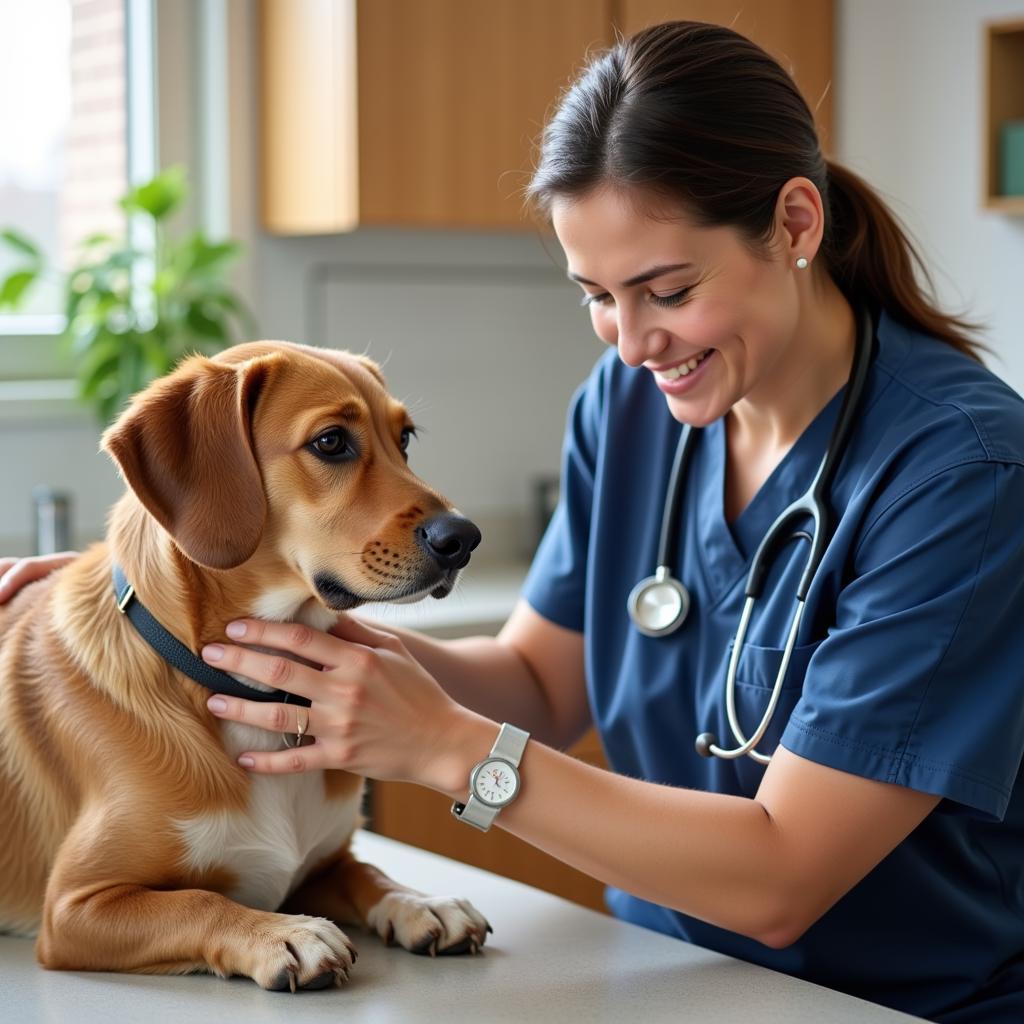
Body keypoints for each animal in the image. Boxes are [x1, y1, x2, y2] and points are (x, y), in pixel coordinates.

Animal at [0, 344, 489, 991]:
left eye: (404, 438)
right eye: (331, 442)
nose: (466, 538)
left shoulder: (324, 864)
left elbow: (367, 872)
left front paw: (419, 901)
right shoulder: (76, 904)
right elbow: (196, 901)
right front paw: (281, 932)